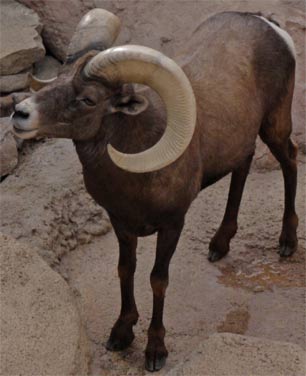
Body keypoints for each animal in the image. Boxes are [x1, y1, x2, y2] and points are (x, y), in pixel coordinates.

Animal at [11, 9, 296, 374]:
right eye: (58, 77)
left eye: (88, 99)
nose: (20, 113)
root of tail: (268, 24)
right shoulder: (121, 223)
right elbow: (125, 269)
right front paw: (121, 333)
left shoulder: (172, 225)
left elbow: (157, 279)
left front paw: (155, 350)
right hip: (242, 140)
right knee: (243, 165)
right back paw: (219, 245)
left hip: (276, 125)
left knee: (290, 161)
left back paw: (287, 243)